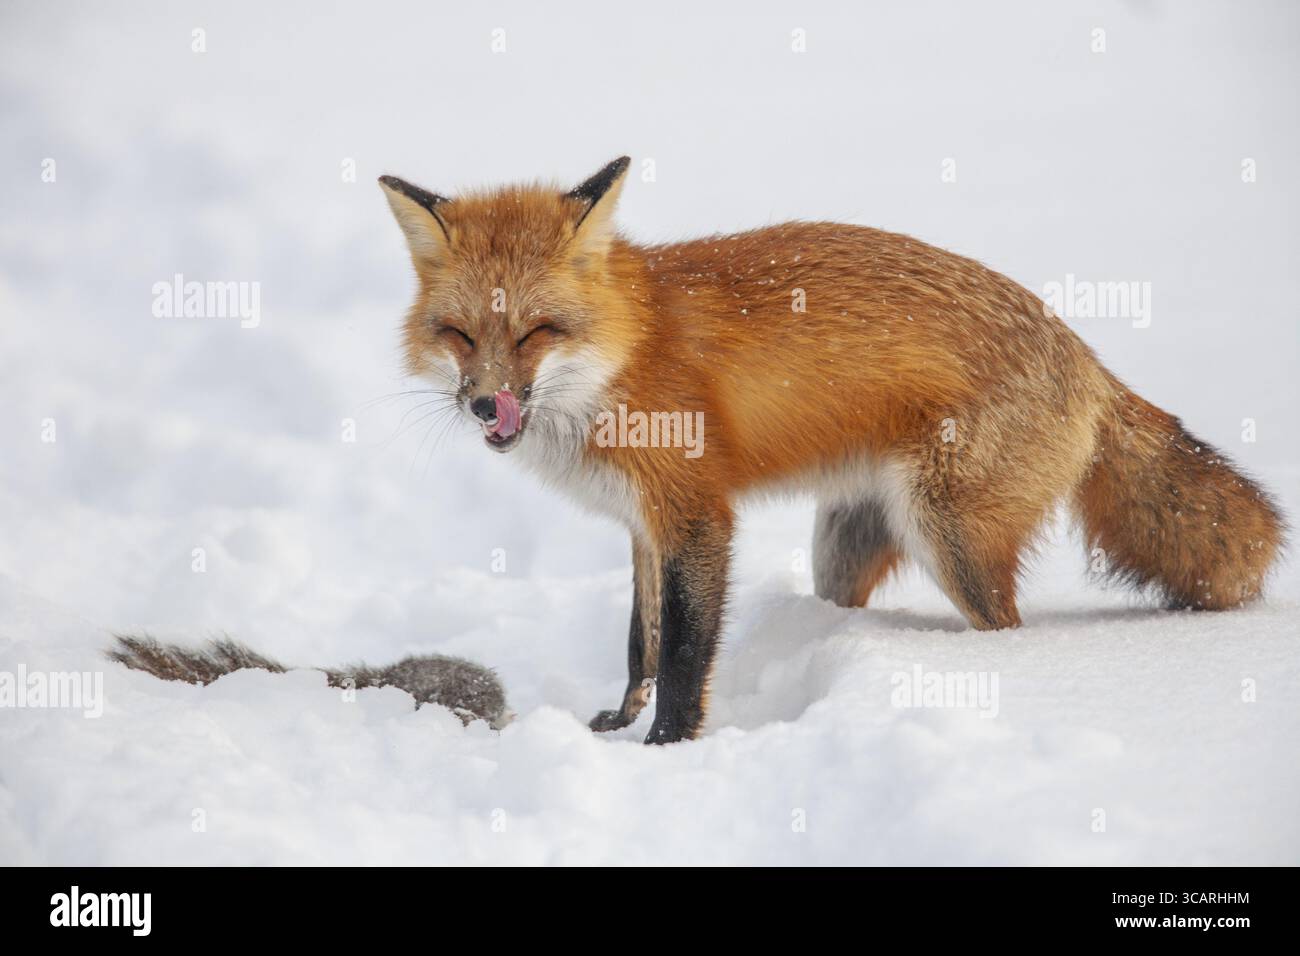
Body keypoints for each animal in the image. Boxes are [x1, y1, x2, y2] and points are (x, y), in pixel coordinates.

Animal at [378, 156, 1284, 745]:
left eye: (537, 332)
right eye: (461, 334)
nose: (484, 402)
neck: (622, 355)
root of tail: (1088, 360)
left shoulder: (696, 515)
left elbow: (683, 650)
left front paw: (668, 747)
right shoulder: (642, 523)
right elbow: (640, 639)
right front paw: (620, 719)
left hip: (951, 539)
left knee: (1009, 627)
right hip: (843, 547)